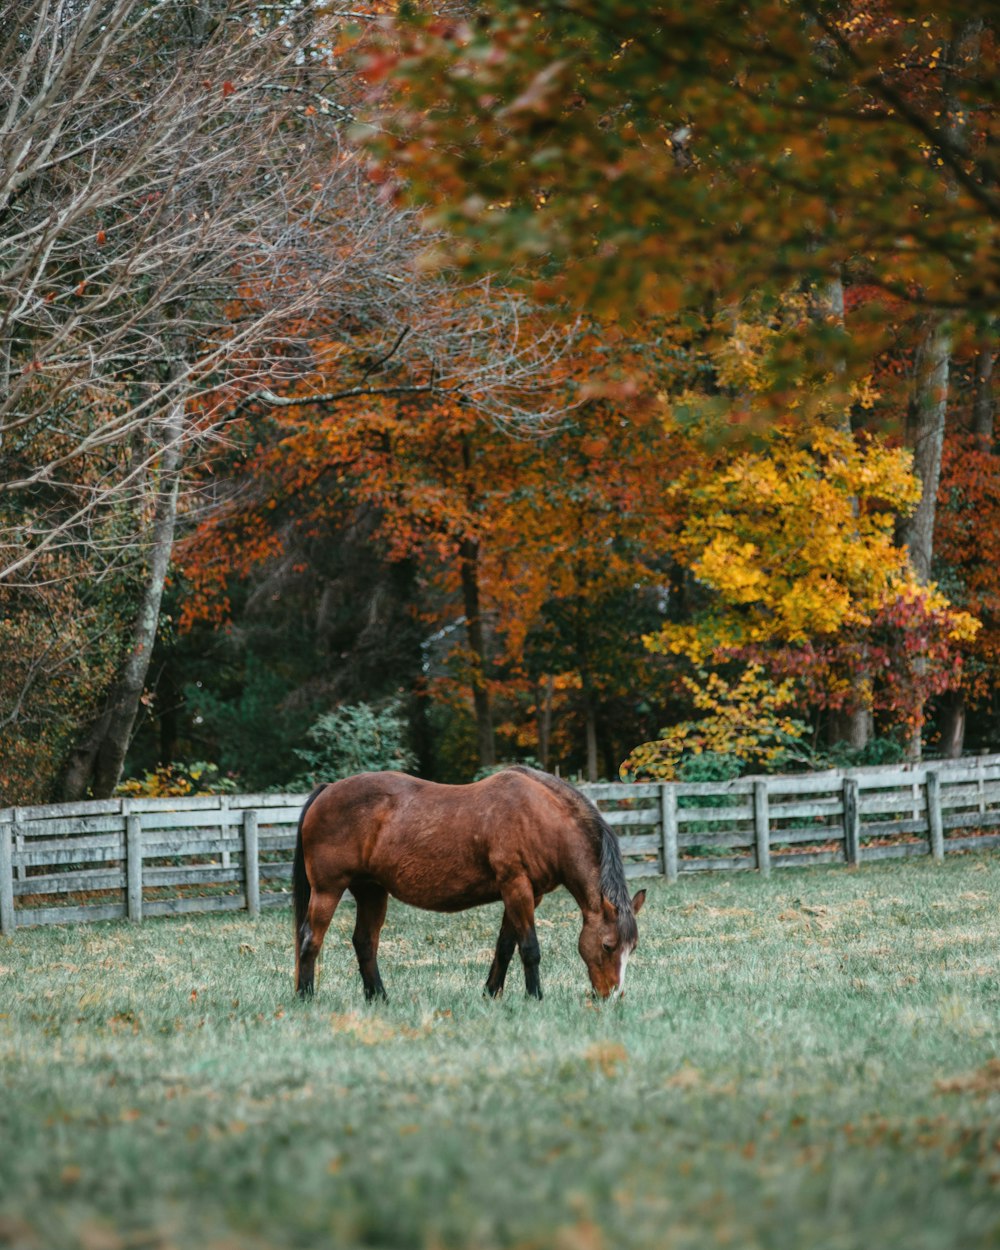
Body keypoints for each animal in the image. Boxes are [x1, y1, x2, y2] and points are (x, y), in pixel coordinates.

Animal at [292, 765, 645, 1000]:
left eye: (632, 947)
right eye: (608, 945)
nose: (612, 996)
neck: (541, 818)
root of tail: (327, 789)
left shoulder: (525, 894)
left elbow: (505, 946)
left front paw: (491, 994)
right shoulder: (516, 887)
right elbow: (529, 948)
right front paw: (535, 997)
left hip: (372, 891)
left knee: (365, 943)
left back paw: (379, 998)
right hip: (327, 890)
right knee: (311, 938)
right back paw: (306, 997)